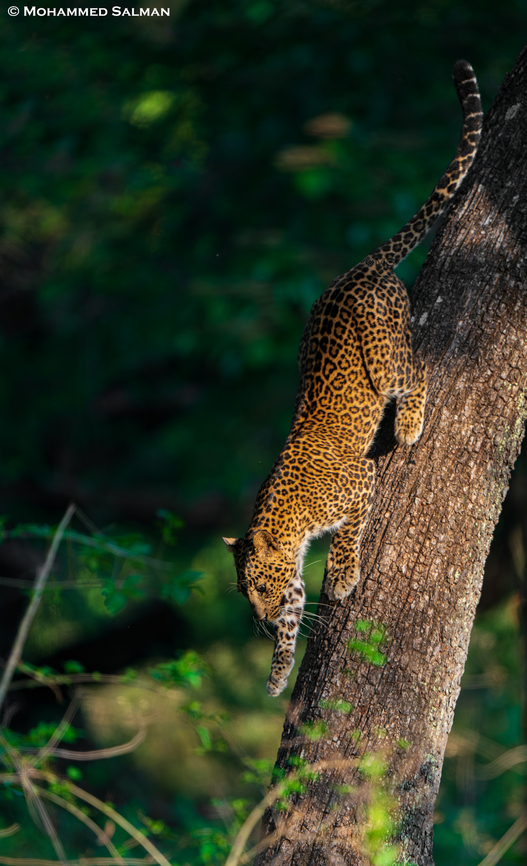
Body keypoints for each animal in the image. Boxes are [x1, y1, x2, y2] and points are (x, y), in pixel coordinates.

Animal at [223, 61, 483, 696]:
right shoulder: (293, 567)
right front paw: (278, 672)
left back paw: (410, 426)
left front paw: (341, 580)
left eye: (256, 586)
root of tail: (358, 268)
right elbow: (297, 608)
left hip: (386, 361)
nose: (258, 618)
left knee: (417, 369)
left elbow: (346, 537)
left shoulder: (358, 483)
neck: (283, 521)